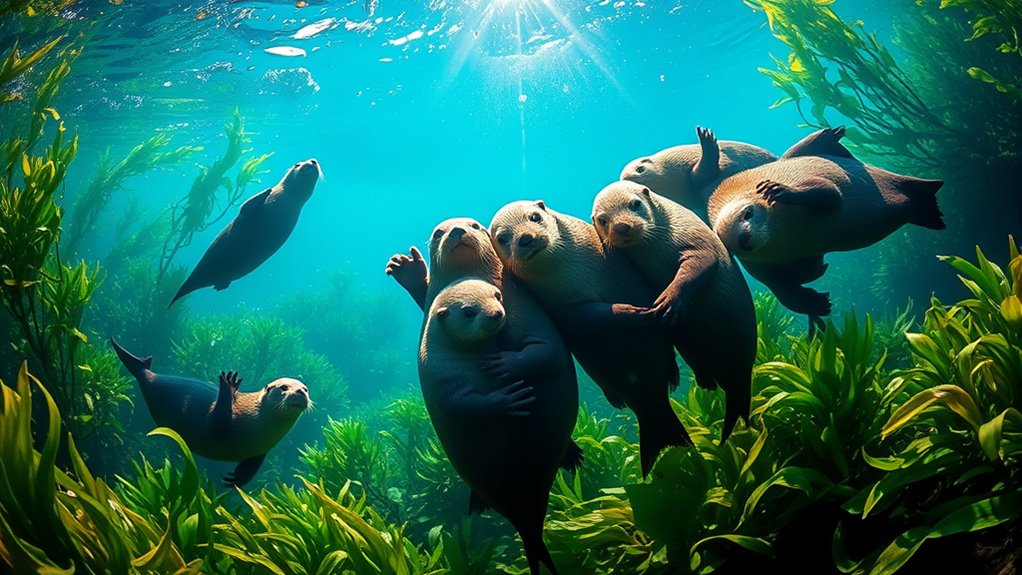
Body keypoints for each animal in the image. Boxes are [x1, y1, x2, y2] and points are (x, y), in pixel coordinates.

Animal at [110, 338, 309, 487]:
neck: (259, 424)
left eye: (306, 388)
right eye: (284, 387)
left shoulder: (260, 450)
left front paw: (235, 480)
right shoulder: (222, 422)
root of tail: (144, 371)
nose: (300, 392)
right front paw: (229, 385)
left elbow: (250, 469)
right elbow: (215, 422)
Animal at [419, 279, 573, 575]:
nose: (497, 313)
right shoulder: (445, 382)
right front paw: (509, 400)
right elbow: (468, 406)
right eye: (468, 312)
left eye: (497, 295)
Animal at [490, 200, 690, 476]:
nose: (526, 238)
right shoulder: (569, 311)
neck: (571, 273)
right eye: (502, 237)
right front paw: (634, 312)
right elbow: (599, 315)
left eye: (534, 216)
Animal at [593, 181, 757, 441]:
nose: (622, 226)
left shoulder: (698, 244)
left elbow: (697, 269)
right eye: (602, 220)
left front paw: (669, 300)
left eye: (635, 204)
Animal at [708, 127, 944, 330]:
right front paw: (818, 301)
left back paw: (829, 134)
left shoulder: (815, 183)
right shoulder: (766, 269)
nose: (744, 238)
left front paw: (778, 190)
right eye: (729, 243)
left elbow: (827, 192)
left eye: (748, 213)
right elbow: (787, 290)